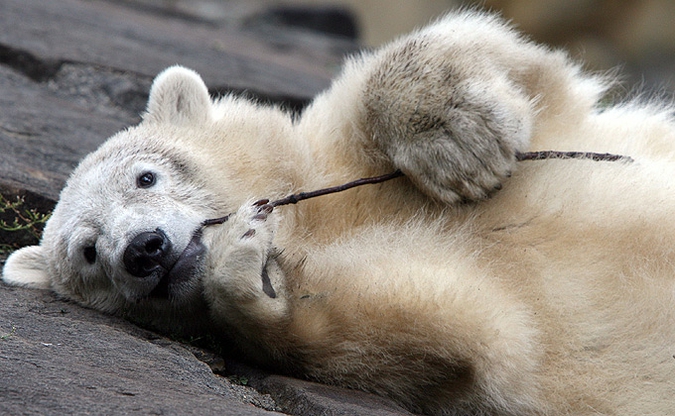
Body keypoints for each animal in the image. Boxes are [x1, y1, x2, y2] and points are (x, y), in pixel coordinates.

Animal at [1, 9, 675, 416]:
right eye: (89, 253)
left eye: (147, 175)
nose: (141, 249)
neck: (316, 219)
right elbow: (451, 327)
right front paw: (248, 270)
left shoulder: (332, 149)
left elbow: (506, 59)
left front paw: (463, 141)